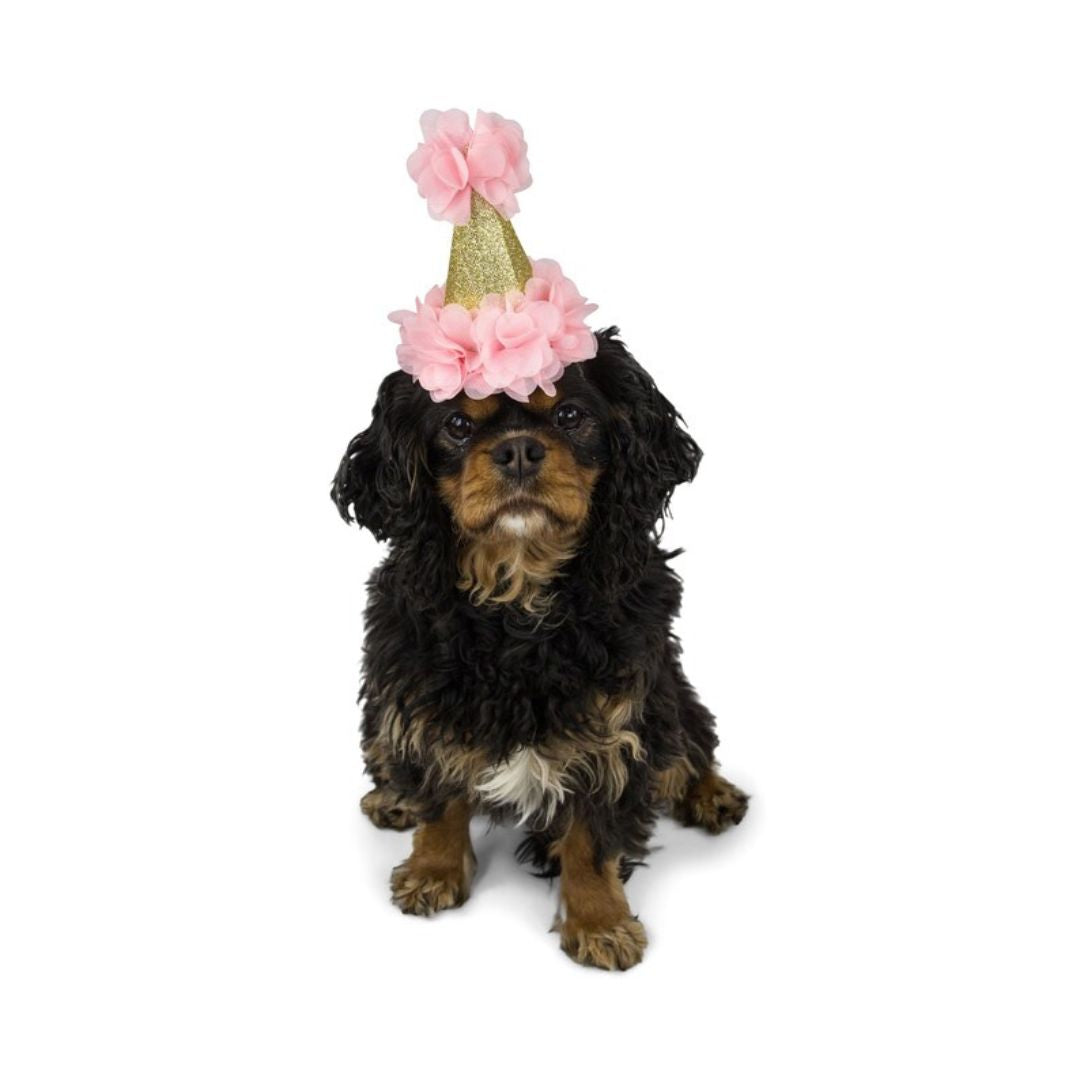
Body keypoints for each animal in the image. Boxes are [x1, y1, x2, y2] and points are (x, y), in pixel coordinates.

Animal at [332, 328, 747, 972]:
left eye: (570, 415)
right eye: (457, 424)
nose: (520, 450)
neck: (519, 595)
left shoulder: (619, 718)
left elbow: (592, 835)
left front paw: (600, 922)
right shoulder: (421, 691)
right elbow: (440, 796)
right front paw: (433, 871)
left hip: (669, 689)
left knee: (692, 739)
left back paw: (711, 793)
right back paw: (391, 796)